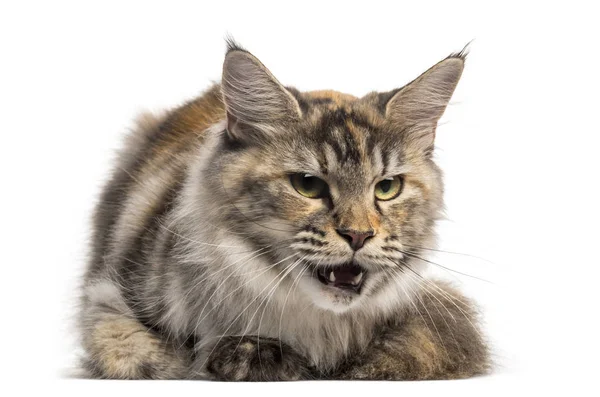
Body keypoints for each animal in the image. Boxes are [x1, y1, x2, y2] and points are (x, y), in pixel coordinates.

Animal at [78, 40, 488, 380]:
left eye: (387, 188)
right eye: (307, 185)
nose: (358, 235)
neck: (314, 322)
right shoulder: (108, 304)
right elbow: (145, 353)